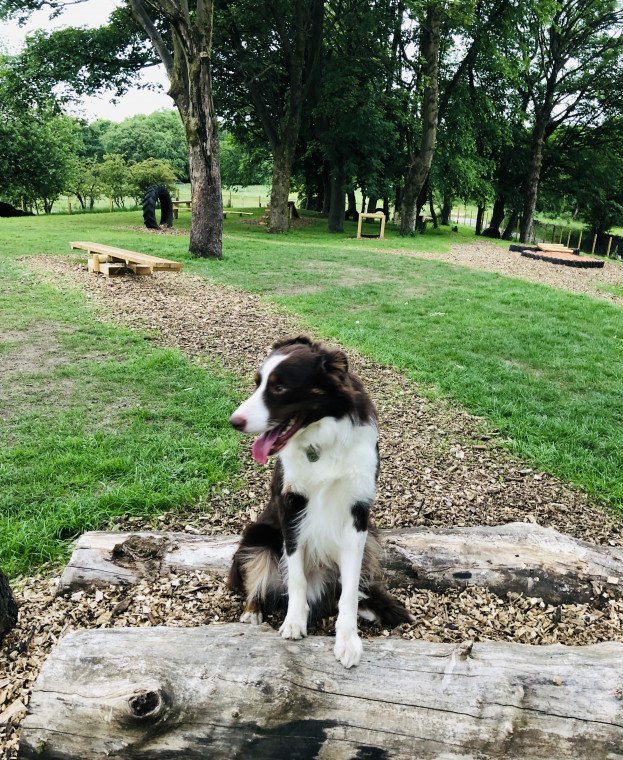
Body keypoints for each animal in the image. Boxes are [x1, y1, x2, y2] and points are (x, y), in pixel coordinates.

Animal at [227, 336, 412, 668]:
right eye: (257, 383)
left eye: (279, 387)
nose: (234, 422)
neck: (321, 442)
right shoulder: (290, 507)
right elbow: (296, 575)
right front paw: (293, 623)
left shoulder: (357, 514)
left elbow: (349, 590)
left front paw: (348, 639)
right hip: (257, 536)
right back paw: (253, 612)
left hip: (371, 537)